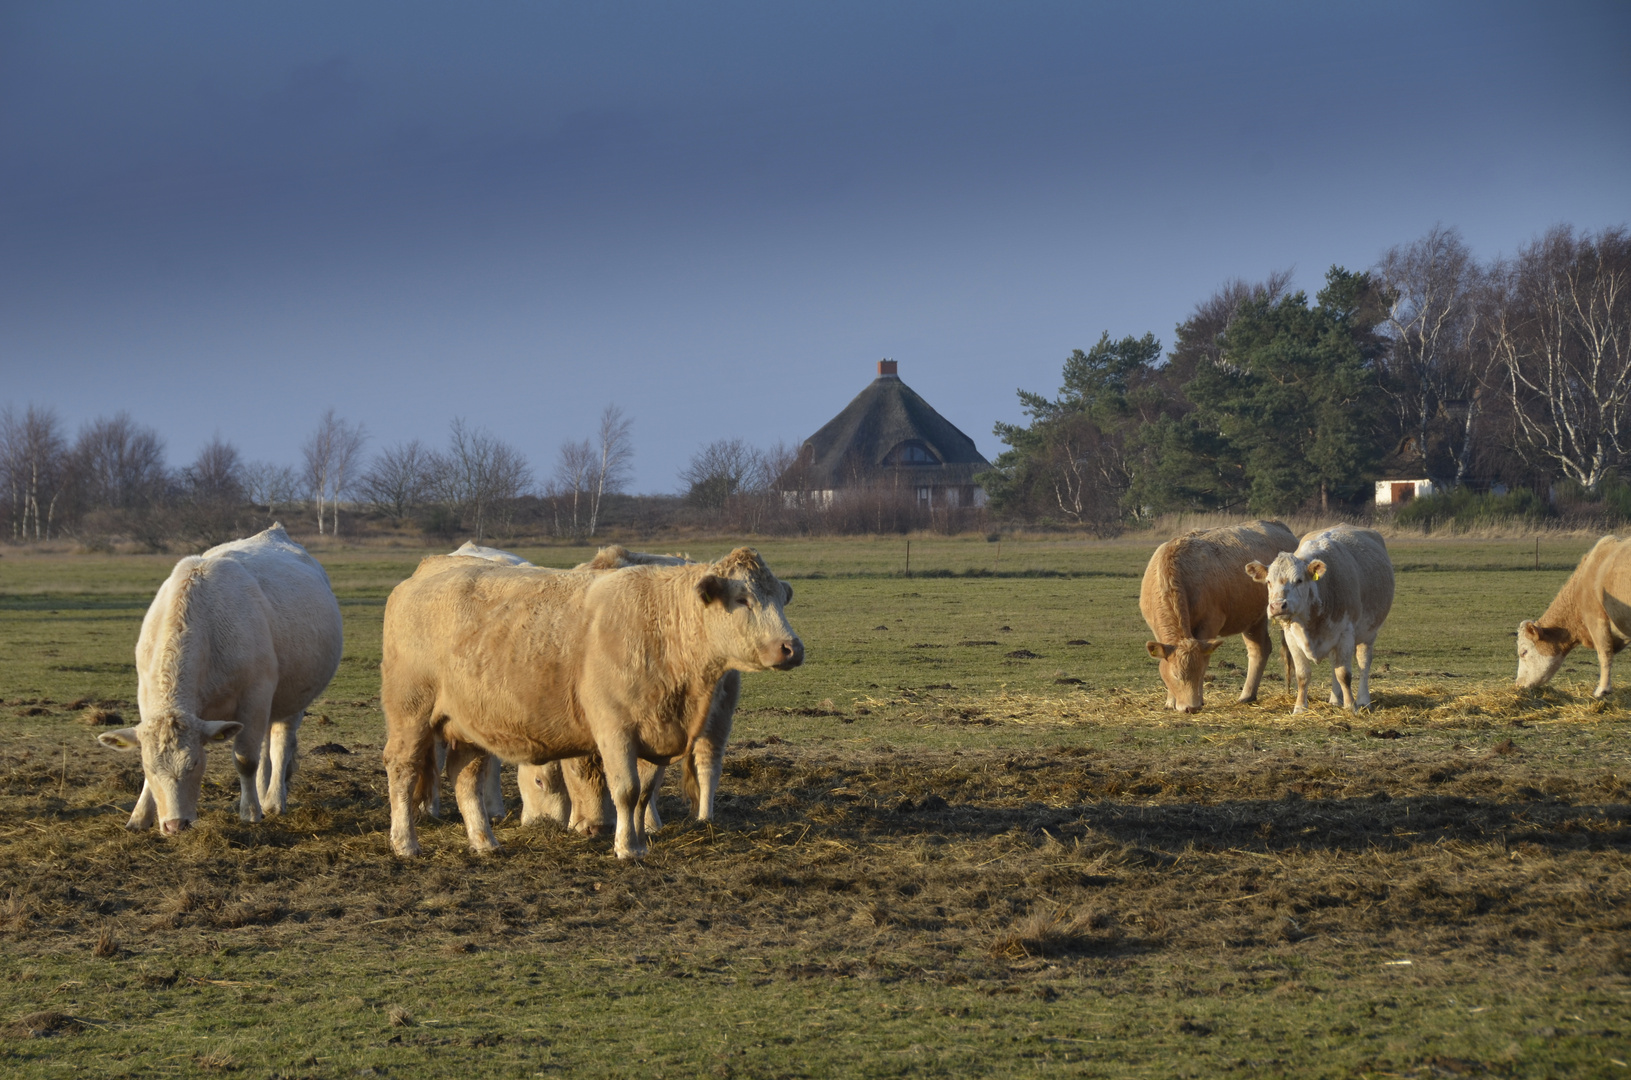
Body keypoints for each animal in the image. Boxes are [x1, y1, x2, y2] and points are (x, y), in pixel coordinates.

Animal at [95, 525, 344, 835]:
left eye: (195, 763)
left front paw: (250, 812)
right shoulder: (146, 696)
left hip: (293, 697)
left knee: (280, 743)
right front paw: (140, 816)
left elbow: (246, 759)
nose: (174, 824)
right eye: (149, 768)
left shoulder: (255, 694)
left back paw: (273, 800)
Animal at [375, 551, 795, 861]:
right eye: (743, 599)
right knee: (403, 768)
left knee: (466, 777)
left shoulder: (654, 732)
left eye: (779, 598)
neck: (660, 626)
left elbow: (644, 793)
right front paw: (626, 849)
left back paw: (484, 842)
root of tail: (419, 578)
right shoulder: (615, 730)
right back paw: (405, 843)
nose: (792, 647)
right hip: (410, 712)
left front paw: (639, 839)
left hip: (467, 724)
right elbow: (625, 790)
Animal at [1135, 522, 1298, 714]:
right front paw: (1170, 701)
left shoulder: (1210, 623)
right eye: (1176, 675)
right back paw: (1247, 695)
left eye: (1200, 673)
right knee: (1260, 649)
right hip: (1252, 618)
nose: (1191, 707)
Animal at [1239, 525, 1396, 714]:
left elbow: (1344, 674)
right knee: (1335, 665)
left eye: (1299, 580)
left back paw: (1363, 700)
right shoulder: (1292, 637)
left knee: (1364, 665)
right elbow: (1303, 674)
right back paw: (1335, 699)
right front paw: (1300, 707)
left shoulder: (1345, 634)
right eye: (1268, 581)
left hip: (1368, 634)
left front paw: (1351, 706)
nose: (1277, 606)